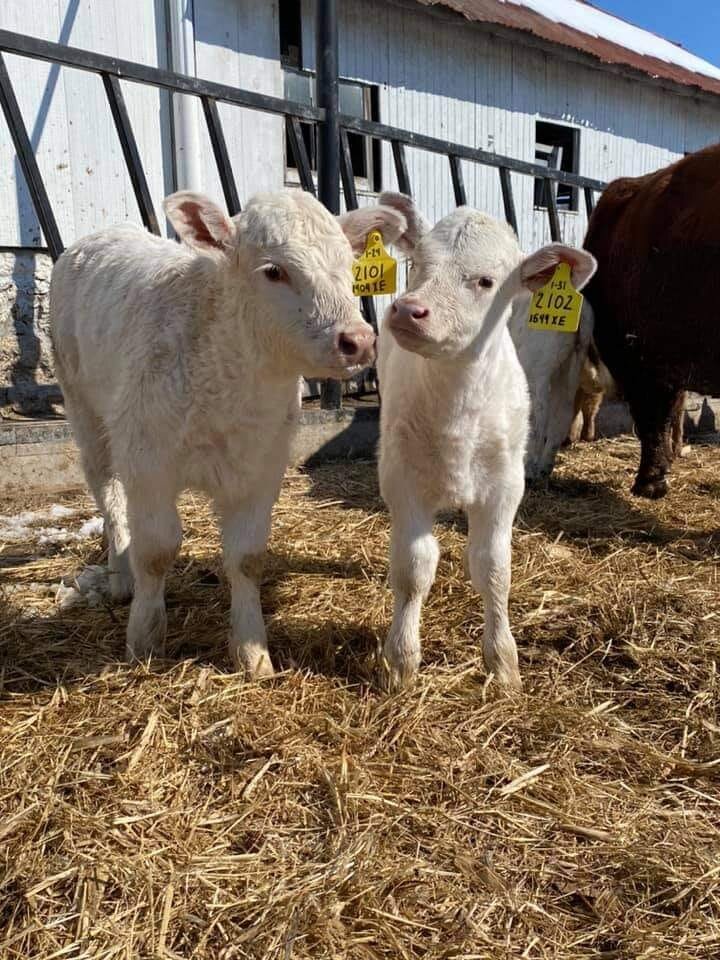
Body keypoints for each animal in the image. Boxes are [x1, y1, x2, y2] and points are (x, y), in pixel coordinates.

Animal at [50, 189, 407, 677]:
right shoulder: (149, 463)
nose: (359, 341)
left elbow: (247, 558)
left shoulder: (261, 468)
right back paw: (121, 573)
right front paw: (144, 639)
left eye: (348, 266)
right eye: (274, 271)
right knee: (108, 494)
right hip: (85, 411)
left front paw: (252, 653)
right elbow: (156, 551)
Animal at [373, 193, 596, 691]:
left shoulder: (504, 487)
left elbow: (494, 569)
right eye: (415, 263)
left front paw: (504, 664)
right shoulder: (403, 482)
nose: (407, 310)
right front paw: (401, 661)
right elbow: (413, 567)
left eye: (486, 281)